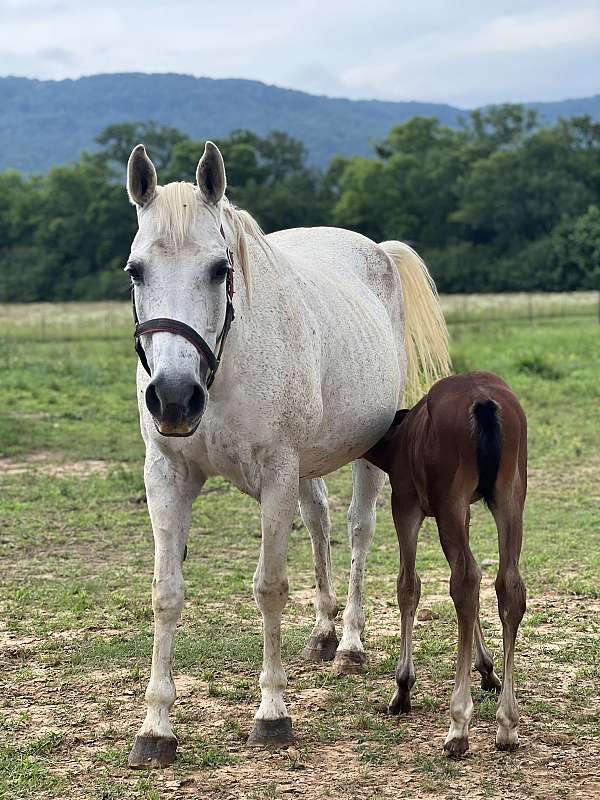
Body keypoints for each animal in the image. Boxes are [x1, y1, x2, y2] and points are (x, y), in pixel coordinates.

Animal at [124, 140, 450, 768]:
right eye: (136, 270)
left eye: (220, 269)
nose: (173, 397)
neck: (223, 366)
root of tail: (377, 251)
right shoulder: (168, 475)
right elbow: (165, 593)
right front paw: (155, 729)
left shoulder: (275, 473)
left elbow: (270, 587)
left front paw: (272, 713)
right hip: (306, 465)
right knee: (319, 520)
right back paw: (323, 634)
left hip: (368, 452)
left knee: (356, 529)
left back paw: (349, 644)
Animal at [364, 372, 527, 756]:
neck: (401, 435)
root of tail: (483, 402)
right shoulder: (466, 510)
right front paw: (487, 669)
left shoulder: (406, 504)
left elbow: (408, 586)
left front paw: (403, 687)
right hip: (509, 496)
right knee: (506, 584)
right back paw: (507, 723)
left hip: (449, 503)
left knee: (464, 580)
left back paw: (458, 725)